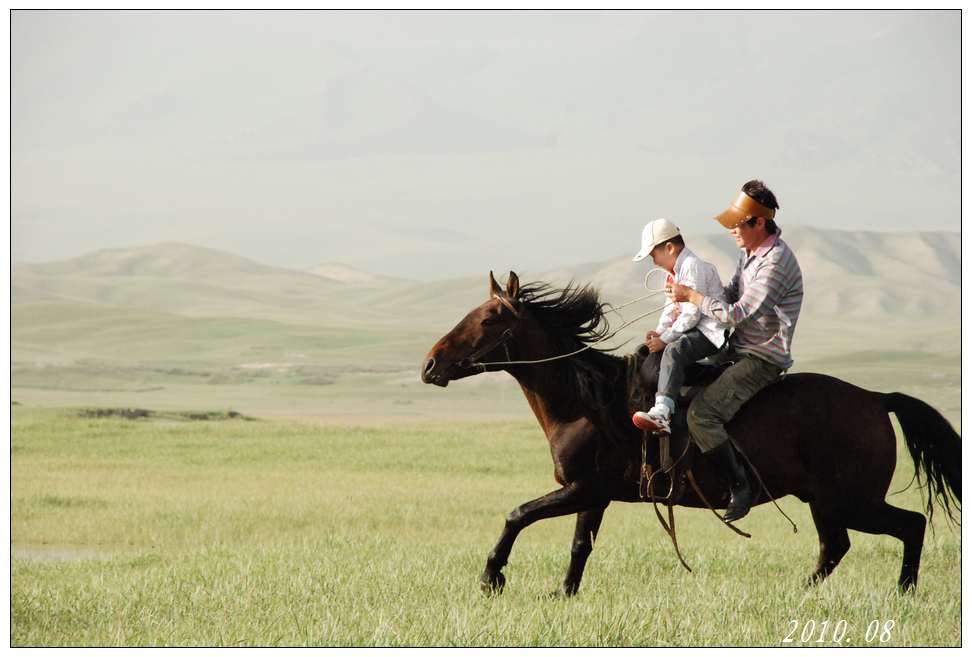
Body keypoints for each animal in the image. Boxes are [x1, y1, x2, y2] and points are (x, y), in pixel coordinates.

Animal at [422, 270, 960, 596]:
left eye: (489, 318)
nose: (430, 364)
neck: (588, 402)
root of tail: (876, 398)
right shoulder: (591, 495)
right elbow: (579, 547)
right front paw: (563, 594)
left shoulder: (583, 489)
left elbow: (517, 515)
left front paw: (492, 577)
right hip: (826, 502)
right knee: (838, 546)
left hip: (849, 500)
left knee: (906, 526)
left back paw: (898, 593)